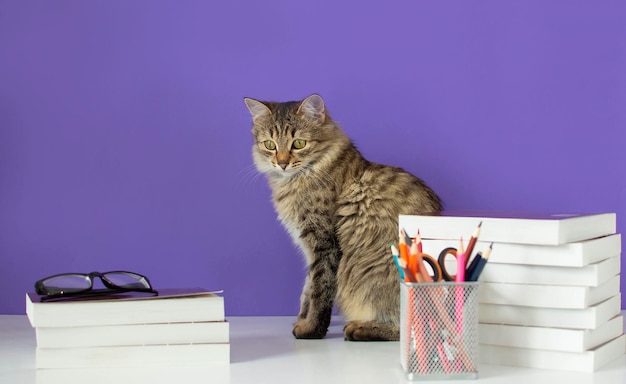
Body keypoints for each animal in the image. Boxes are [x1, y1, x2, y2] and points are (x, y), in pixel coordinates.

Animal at [241, 94, 442, 340]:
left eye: (298, 144)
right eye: (270, 145)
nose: (282, 163)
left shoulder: (324, 243)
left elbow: (320, 291)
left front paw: (311, 329)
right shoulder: (309, 247)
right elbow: (307, 290)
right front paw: (301, 320)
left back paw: (360, 329)